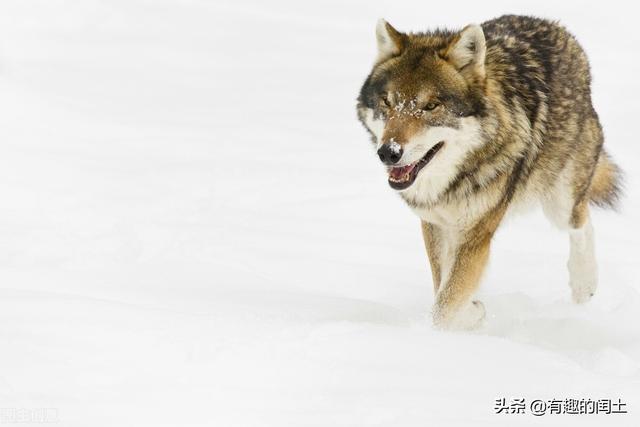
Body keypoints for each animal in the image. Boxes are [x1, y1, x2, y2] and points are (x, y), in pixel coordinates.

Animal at [356, 14, 620, 332]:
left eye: (431, 106)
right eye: (388, 102)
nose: (389, 152)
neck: (453, 182)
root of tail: (557, 28)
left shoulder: (477, 233)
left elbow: (446, 304)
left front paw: (442, 330)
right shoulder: (435, 224)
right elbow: (444, 286)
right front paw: (472, 313)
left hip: (560, 201)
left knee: (582, 221)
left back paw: (584, 284)